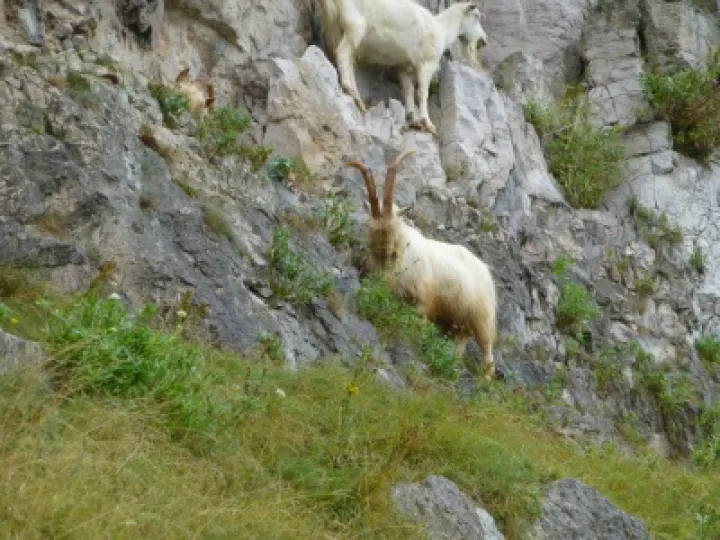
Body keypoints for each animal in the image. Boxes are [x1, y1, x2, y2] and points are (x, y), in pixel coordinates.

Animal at [318, 0, 487, 135]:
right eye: (476, 15)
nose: (483, 41)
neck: (442, 30)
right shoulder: (427, 64)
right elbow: (422, 93)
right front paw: (427, 123)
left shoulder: (404, 68)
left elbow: (409, 91)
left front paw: (413, 120)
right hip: (355, 27)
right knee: (342, 53)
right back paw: (351, 91)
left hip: (337, 28)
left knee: (347, 61)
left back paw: (358, 100)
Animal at [346, 150, 497, 379]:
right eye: (373, 229)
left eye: (395, 226)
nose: (387, 253)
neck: (401, 255)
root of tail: (484, 269)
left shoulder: (422, 302)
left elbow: (418, 326)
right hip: (457, 323)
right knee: (460, 343)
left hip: (483, 320)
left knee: (488, 354)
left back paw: (485, 380)